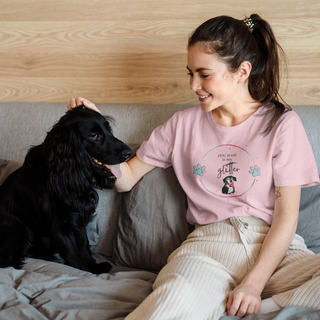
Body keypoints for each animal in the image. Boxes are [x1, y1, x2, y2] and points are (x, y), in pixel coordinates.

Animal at [0, 107, 131, 272]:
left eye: (109, 130)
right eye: (94, 135)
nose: (129, 153)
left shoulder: (77, 213)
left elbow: (83, 245)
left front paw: (92, 265)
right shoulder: (58, 222)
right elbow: (72, 252)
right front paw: (87, 269)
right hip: (19, 229)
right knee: (8, 260)